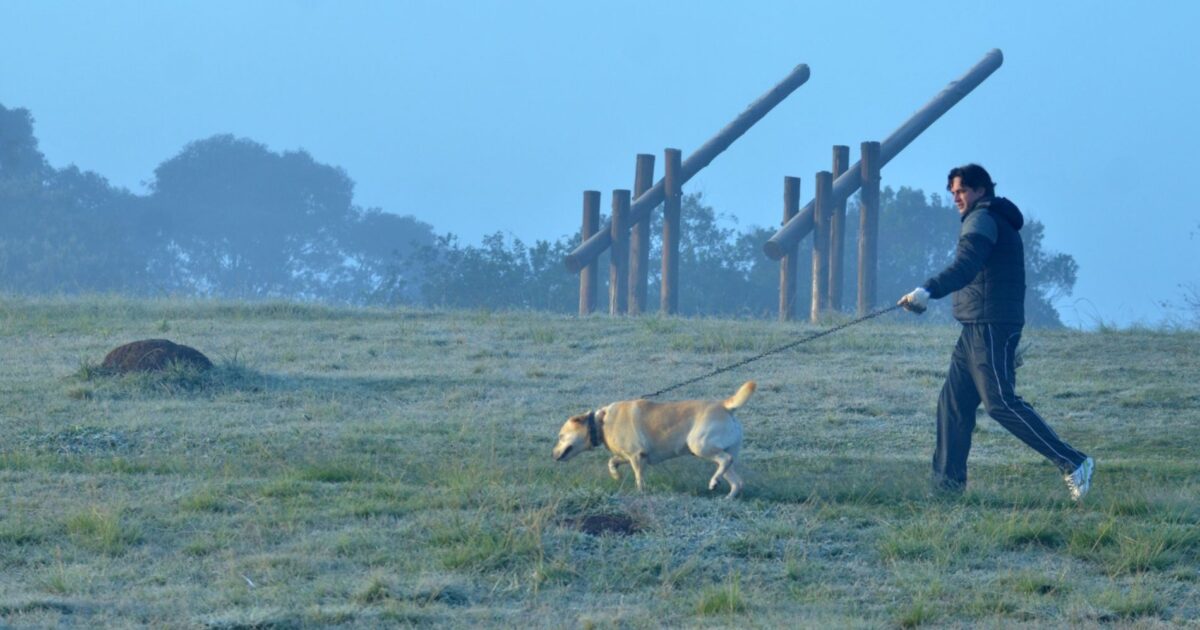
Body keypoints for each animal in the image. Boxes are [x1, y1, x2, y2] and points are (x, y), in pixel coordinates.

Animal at [549, 381, 753, 499]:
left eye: (561, 436)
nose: (553, 454)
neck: (601, 422)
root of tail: (724, 406)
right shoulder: (629, 455)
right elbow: (612, 462)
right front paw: (616, 476)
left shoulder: (637, 457)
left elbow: (639, 479)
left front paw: (640, 493)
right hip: (721, 452)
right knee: (737, 479)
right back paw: (727, 497)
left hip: (699, 445)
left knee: (725, 460)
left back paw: (713, 482)